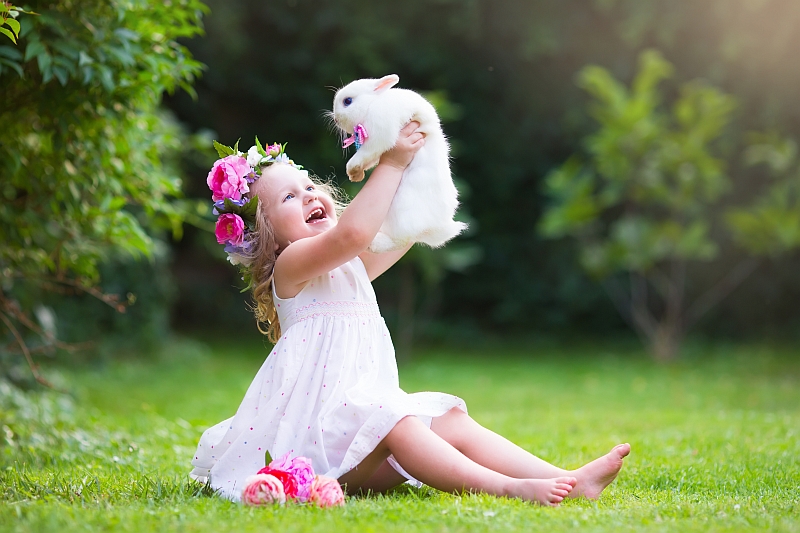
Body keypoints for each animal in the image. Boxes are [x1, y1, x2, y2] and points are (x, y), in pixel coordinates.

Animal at [332, 73, 468, 254]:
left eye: (347, 101)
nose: (335, 119)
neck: (373, 104)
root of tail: (436, 229)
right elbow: (370, 159)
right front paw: (357, 176)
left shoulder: (380, 135)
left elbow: (363, 155)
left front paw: (352, 170)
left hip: (400, 215)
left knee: (401, 241)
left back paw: (373, 244)